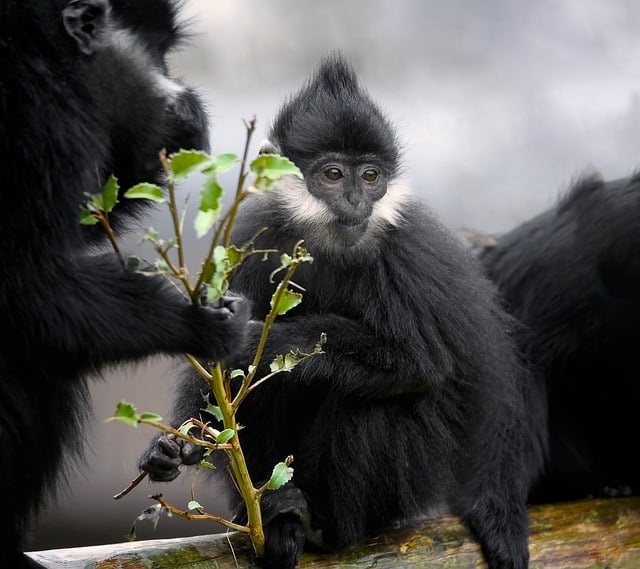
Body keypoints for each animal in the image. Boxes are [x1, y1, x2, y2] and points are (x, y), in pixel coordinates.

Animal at [139, 54, 546, 569]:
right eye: (333, 175)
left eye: (370, 177)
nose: (356, 199)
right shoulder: (257, 233)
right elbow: (219, 383)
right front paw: (171, 446)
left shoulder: (404, 250)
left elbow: (420, 361)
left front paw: (263, 341)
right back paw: (274, 515)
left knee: (367, 403)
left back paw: (324, 528)